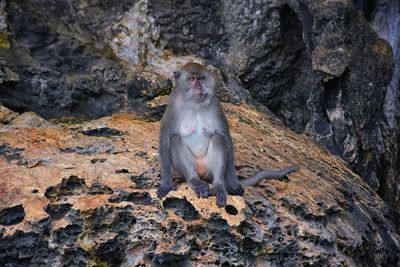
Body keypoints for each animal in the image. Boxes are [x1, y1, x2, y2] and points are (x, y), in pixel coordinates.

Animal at [156, 62, 296, 207]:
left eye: (201, 78)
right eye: (192, 79)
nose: (199, 87)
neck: (195, 105)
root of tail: (203, 175)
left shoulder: (215, 105)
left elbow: (225, 136)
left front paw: (233, 182)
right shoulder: (173, 106)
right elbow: (165, 139)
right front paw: (166, 184)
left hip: (209, 170)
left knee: (218, 139)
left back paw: (219, 185)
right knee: (175, 139)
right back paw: (195, 181)